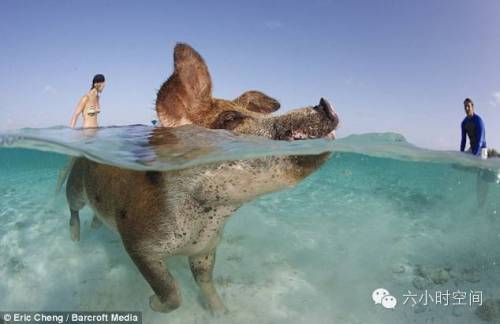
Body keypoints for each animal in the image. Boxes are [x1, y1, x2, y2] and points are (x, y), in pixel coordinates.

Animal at [65, 43, 340, 314]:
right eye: (231, 119)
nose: (325, 103)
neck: (206, 218)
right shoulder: (137, 243)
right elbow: (170, 290)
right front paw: (152, 303)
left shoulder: (206, 248)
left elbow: (205, 281)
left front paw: (223, 313)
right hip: (76, 185)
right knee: (74, 208)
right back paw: (75, 239)